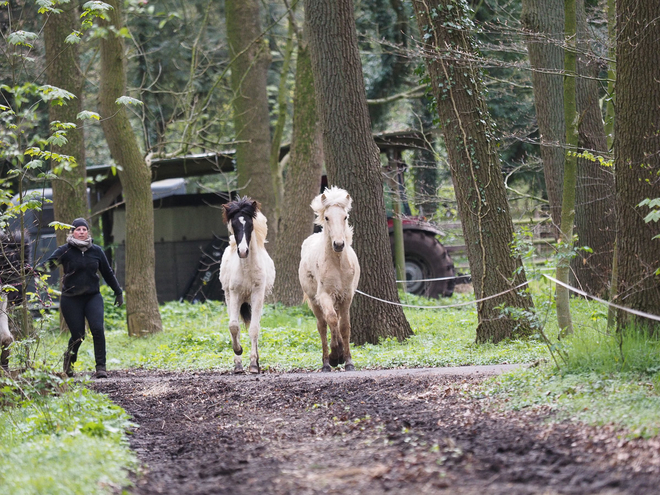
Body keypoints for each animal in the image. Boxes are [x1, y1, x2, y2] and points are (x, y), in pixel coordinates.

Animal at [219, 200, 276, 374]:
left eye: (250, 224)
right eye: (234, 224)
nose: (243, 251)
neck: (247, 268)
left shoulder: (257, 295)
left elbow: (254, 329)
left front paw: (253, 364)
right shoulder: (234, 294)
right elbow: (233, 326)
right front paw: (238, 353)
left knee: (253, 326)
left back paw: (255, 362)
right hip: (230, 298)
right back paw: (238, 364)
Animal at [300, 186, 360, 372]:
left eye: (345, 217)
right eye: (327, 217)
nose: (339, 244)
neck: (337, 264)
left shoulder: (346, 296)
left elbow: (344, 326)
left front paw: (348, 361)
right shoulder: (324, 295)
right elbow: (332, 320)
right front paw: (336, 356)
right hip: (315, 301)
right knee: (322, 325)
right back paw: (326, 363)